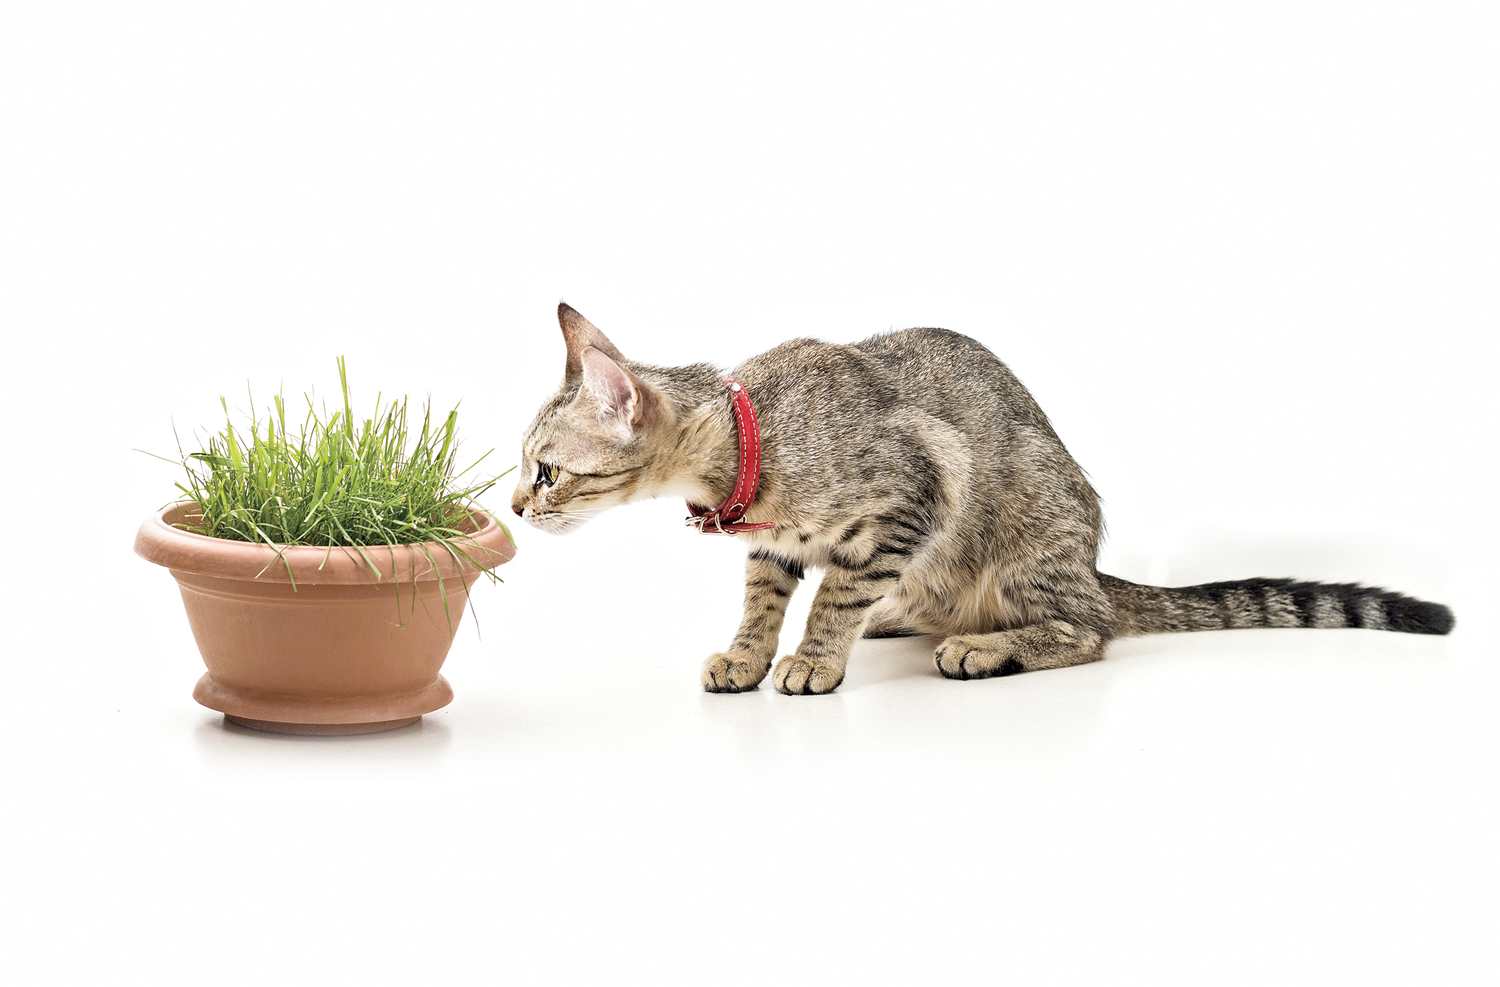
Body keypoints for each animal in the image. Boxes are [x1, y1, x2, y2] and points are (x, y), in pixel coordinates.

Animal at [514, 303, 1454, 695]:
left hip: (1028, 535)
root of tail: (1091, 563)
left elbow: (833, 593)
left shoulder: (917, 491)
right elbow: (763, 596)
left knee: (1089, 627)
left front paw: (814, 656)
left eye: (546, 471)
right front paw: (748, 653)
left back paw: (986, 645)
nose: (519, 508)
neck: (755, 437)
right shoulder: (773, 542)